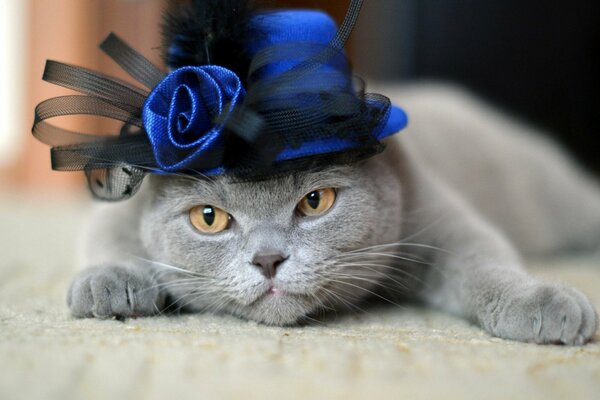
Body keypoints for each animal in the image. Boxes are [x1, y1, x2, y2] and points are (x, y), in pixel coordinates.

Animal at [68, 83, 596, 344]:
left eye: (315, 201)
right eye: (209, 218)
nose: (267, 260)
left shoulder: (438, 220)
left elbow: (484, 263)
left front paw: (540, 302)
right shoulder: (121, 204)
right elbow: (108, 234)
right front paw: (108, 285)